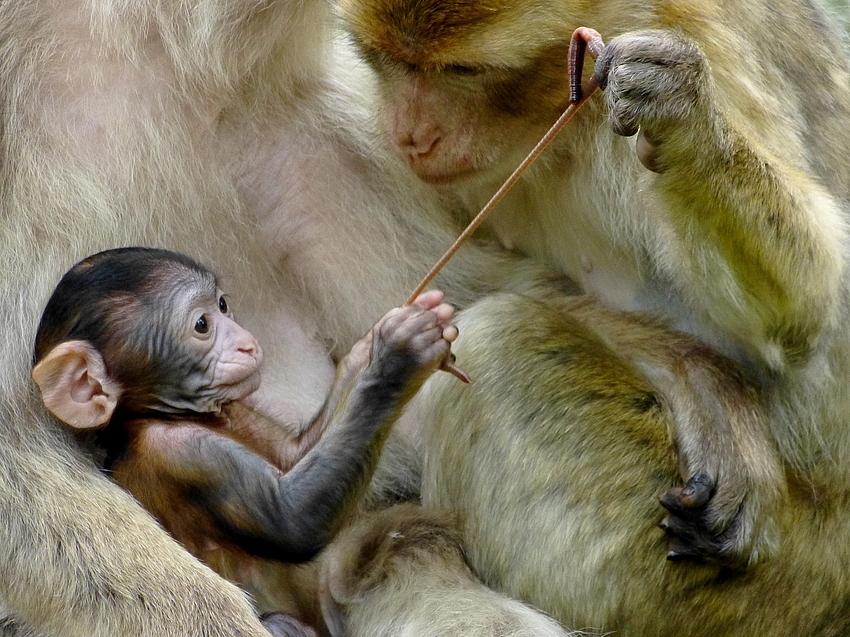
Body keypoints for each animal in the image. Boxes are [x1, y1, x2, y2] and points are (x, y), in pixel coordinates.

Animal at [31, 247, 458, 636]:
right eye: (202, 324)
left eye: (223, 305)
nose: (246, 343)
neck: (167, 414)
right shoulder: (185, 452)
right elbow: (293, 520)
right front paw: (396, 356)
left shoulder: (239, 408)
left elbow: (294, 457)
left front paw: (367, 348)